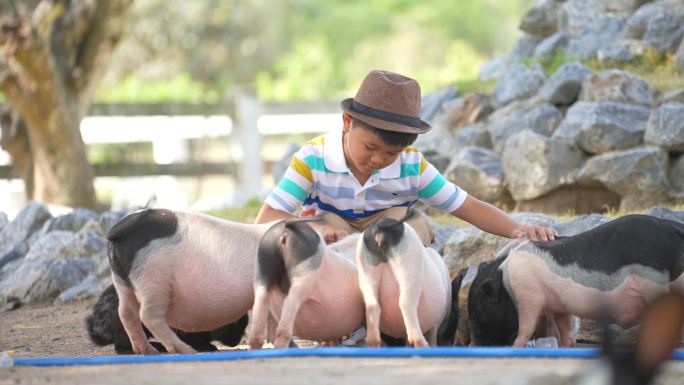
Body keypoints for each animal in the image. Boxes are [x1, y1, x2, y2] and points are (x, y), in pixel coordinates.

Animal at [107, 208, 272, 352]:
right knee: (148, 315)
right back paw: (186, 351)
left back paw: (149, 351)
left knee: (126, 312)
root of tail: (121, 229)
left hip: (121, 280)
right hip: (153, 277)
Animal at [356, 208, 452, 346]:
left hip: (366, 270)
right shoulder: (436, 321)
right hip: (408, 266)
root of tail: (380, 230)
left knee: (372, 305)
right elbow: (433, 337)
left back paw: (373, 342)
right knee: (406, 303)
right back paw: (420, 343)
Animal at [464, 214, 684, 346]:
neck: (504, 276)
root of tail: (676, 229)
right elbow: (565, 328)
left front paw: (517, 347)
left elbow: (526, 328)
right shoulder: (559, 304)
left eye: (480, 311)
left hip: (656, 286)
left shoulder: (529, 296)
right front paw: (565, 346)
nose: (474, 344)